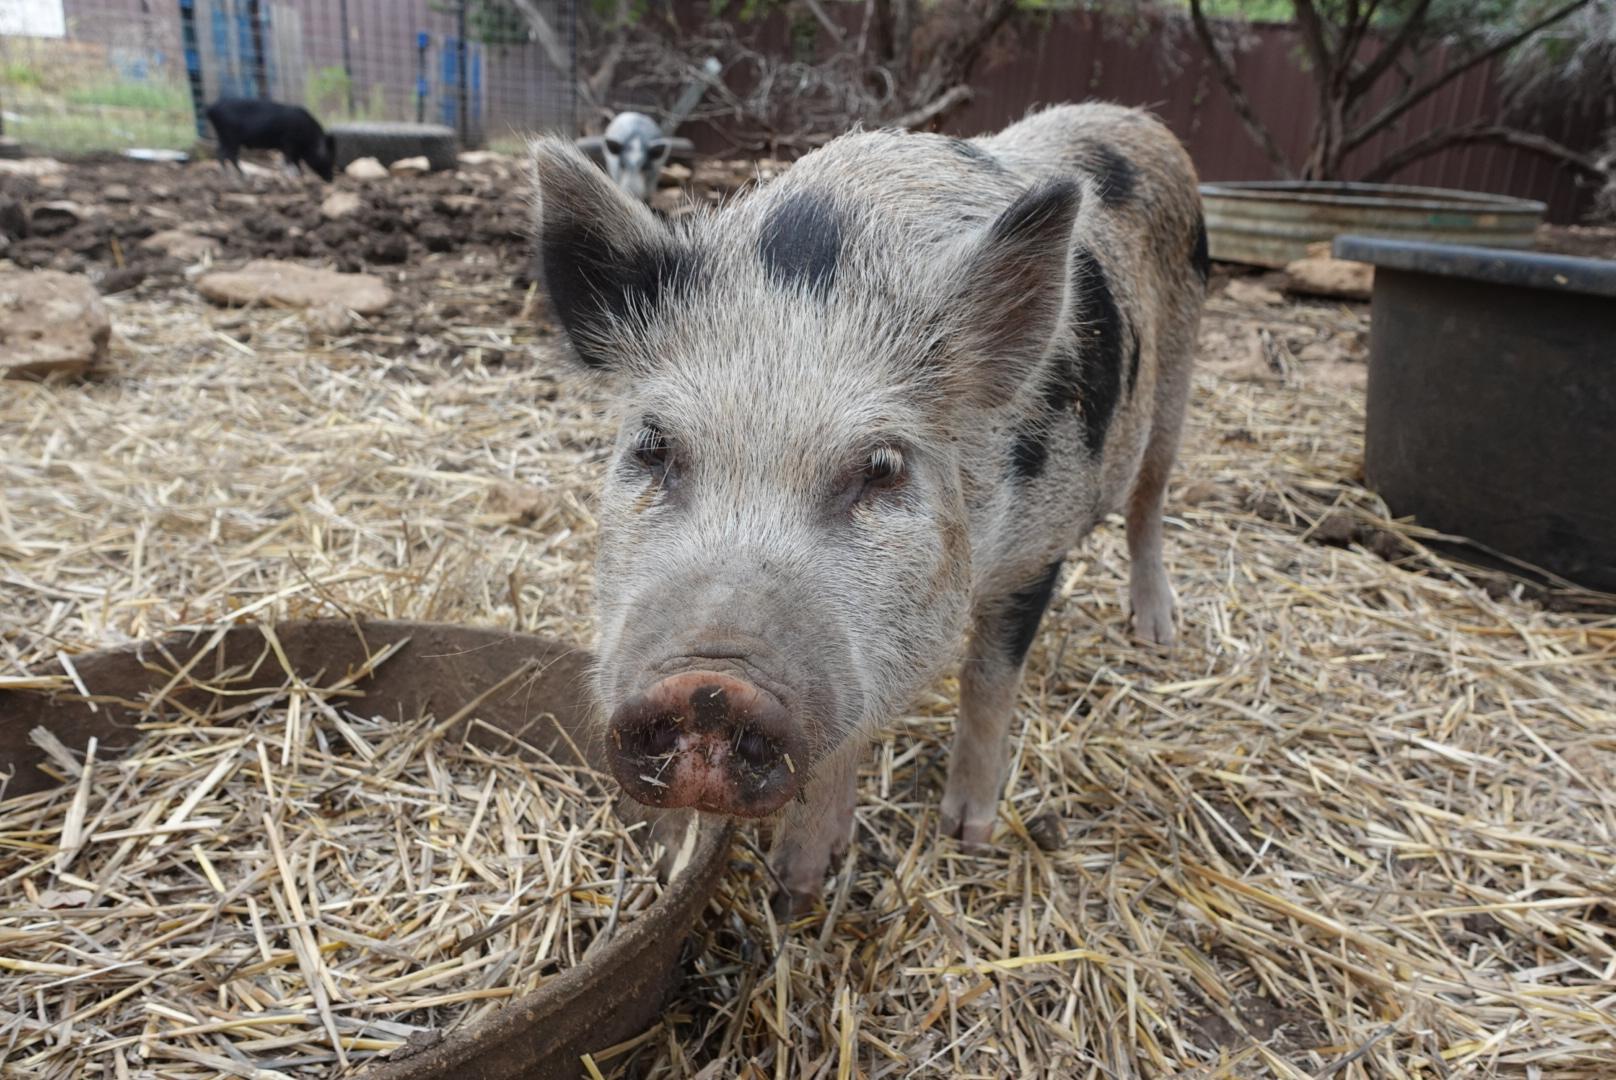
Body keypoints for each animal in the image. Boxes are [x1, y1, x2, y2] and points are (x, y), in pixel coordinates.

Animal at [206, 99, 336, 182]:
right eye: (327, 159)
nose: (331, 180)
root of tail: (210, 108)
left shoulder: (294, 149)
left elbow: (296, 162)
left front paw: (300, 176)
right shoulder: (288, 143)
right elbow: (289, 160)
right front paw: (292, 177)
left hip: (223, 138)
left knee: (221, 153)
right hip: (231, 139)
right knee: (229, 155)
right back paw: (240, 176)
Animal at [530, 102, 1208, 913]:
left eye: (882, 469)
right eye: (654, 446)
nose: (710, 685)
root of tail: (1135, 119)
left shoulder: (1036, 550)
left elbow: (988, 682)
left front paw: (966, 837)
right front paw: (795, 885)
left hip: (1178, 372)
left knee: (1151, 499)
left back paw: (1157, 634)